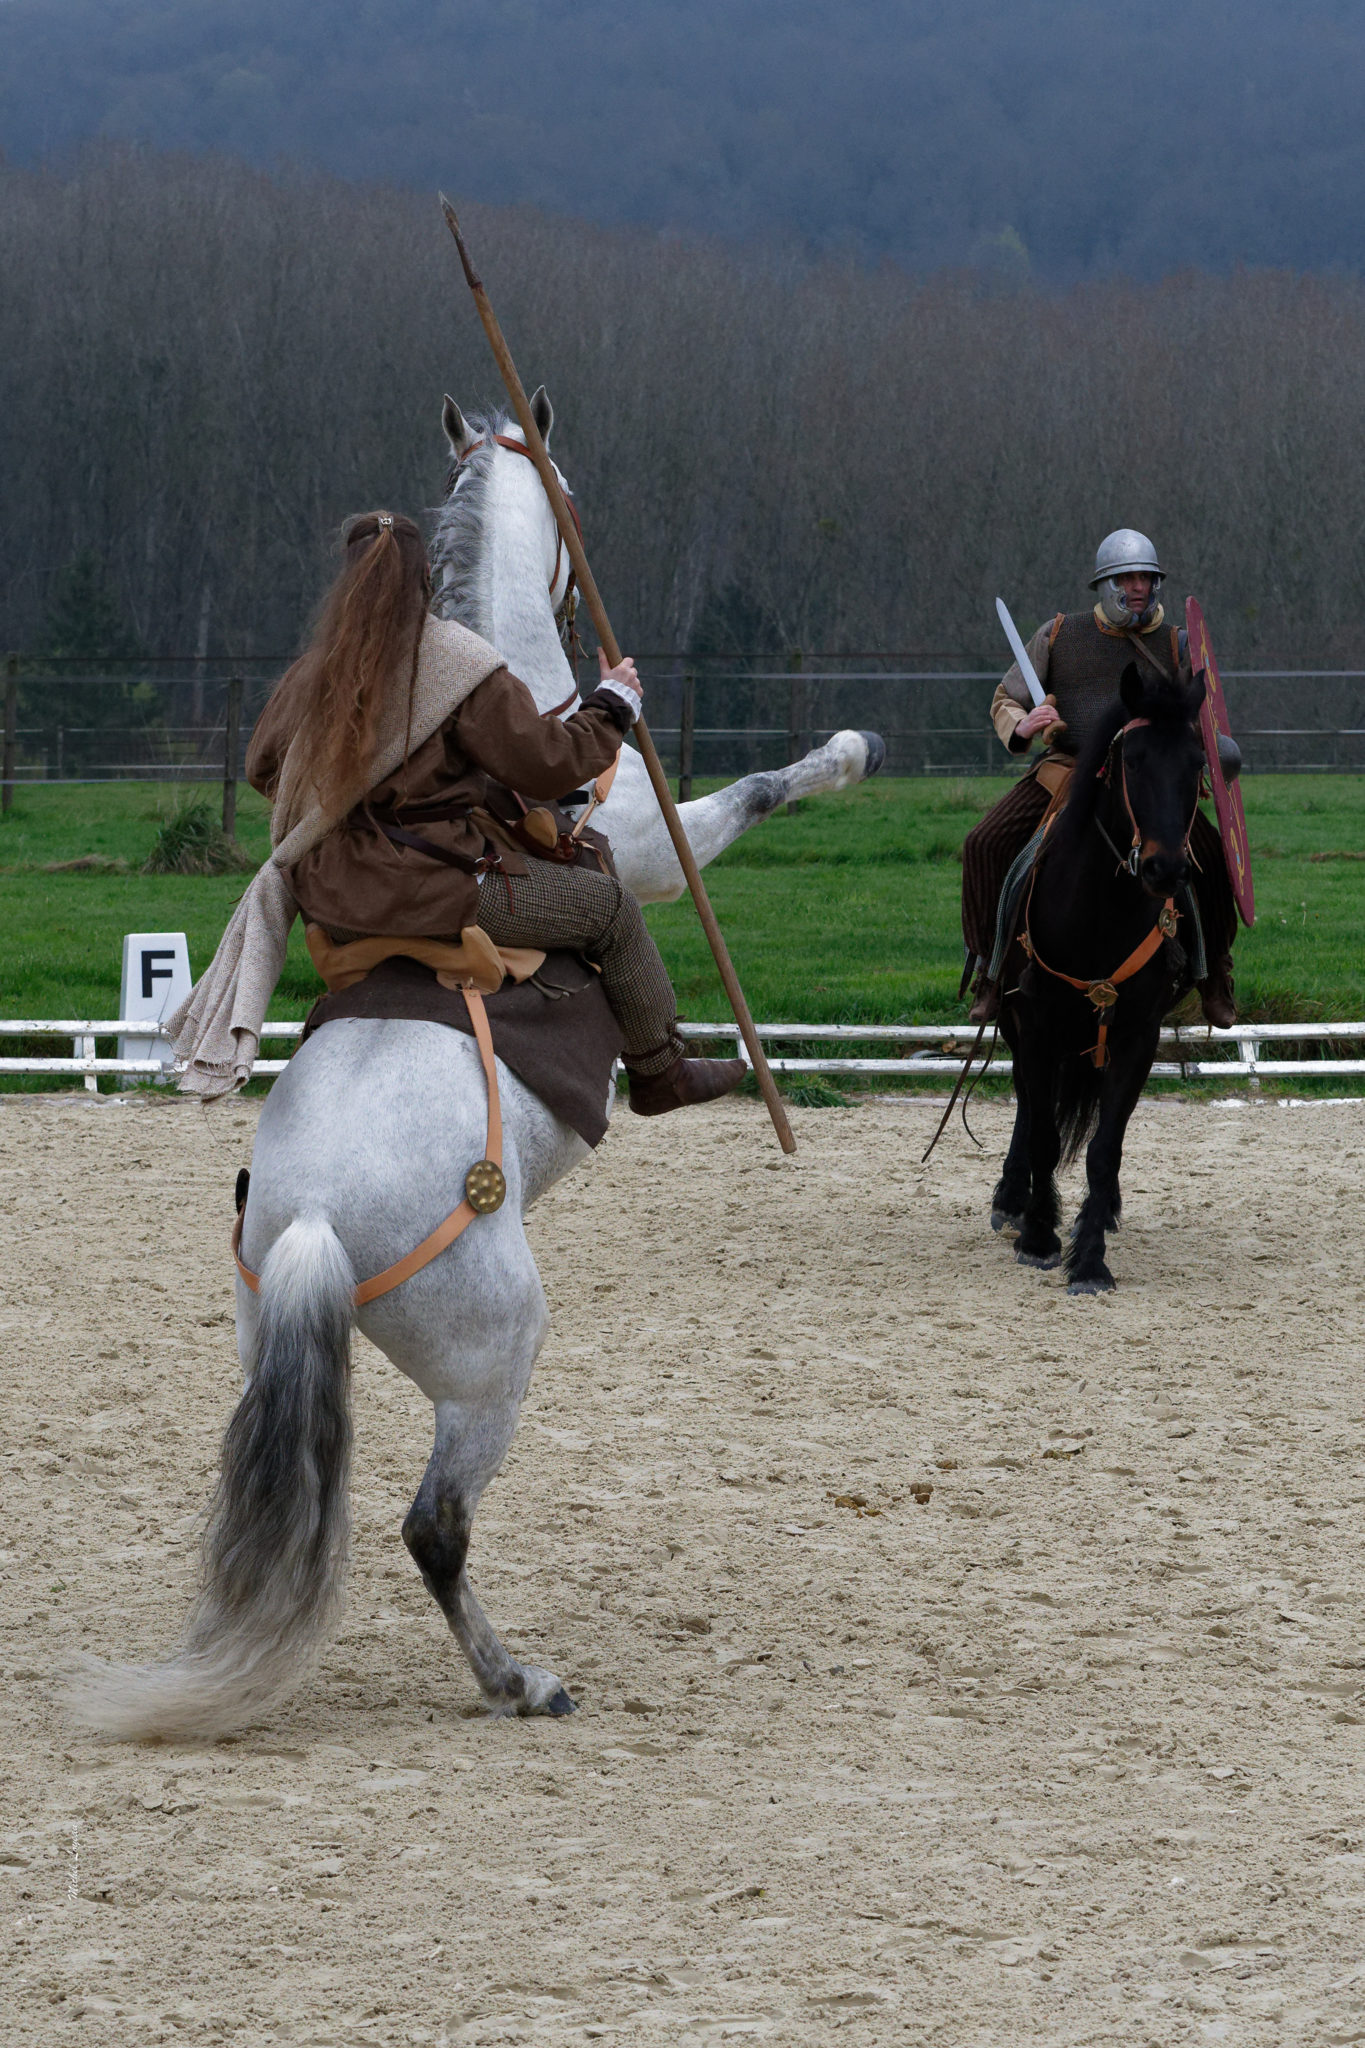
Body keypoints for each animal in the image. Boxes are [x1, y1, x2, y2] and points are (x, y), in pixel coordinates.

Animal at [990, 661, 1208, 1295]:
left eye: (1198, 762)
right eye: (1132, 759)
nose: (1166, 868)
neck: (1098, 910)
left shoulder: (1138, 1034)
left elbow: (1104, 1147)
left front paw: (1088, 1257)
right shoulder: (1036, 1025)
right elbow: (1042, 1132)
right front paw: (1040, 1235)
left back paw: (1101, 1209)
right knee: (1028, 1107)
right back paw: (1014, 1200)